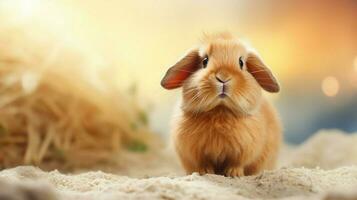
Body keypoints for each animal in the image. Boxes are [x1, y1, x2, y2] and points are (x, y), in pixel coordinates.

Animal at [161, 32, 280, 177]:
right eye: (204, 61)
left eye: (241, 62)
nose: (223, 77)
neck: (220, 110)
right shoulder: (195, 152)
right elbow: (204, 163)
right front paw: (205, 172)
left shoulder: (245, 151)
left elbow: (237, 163)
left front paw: (234, 174)